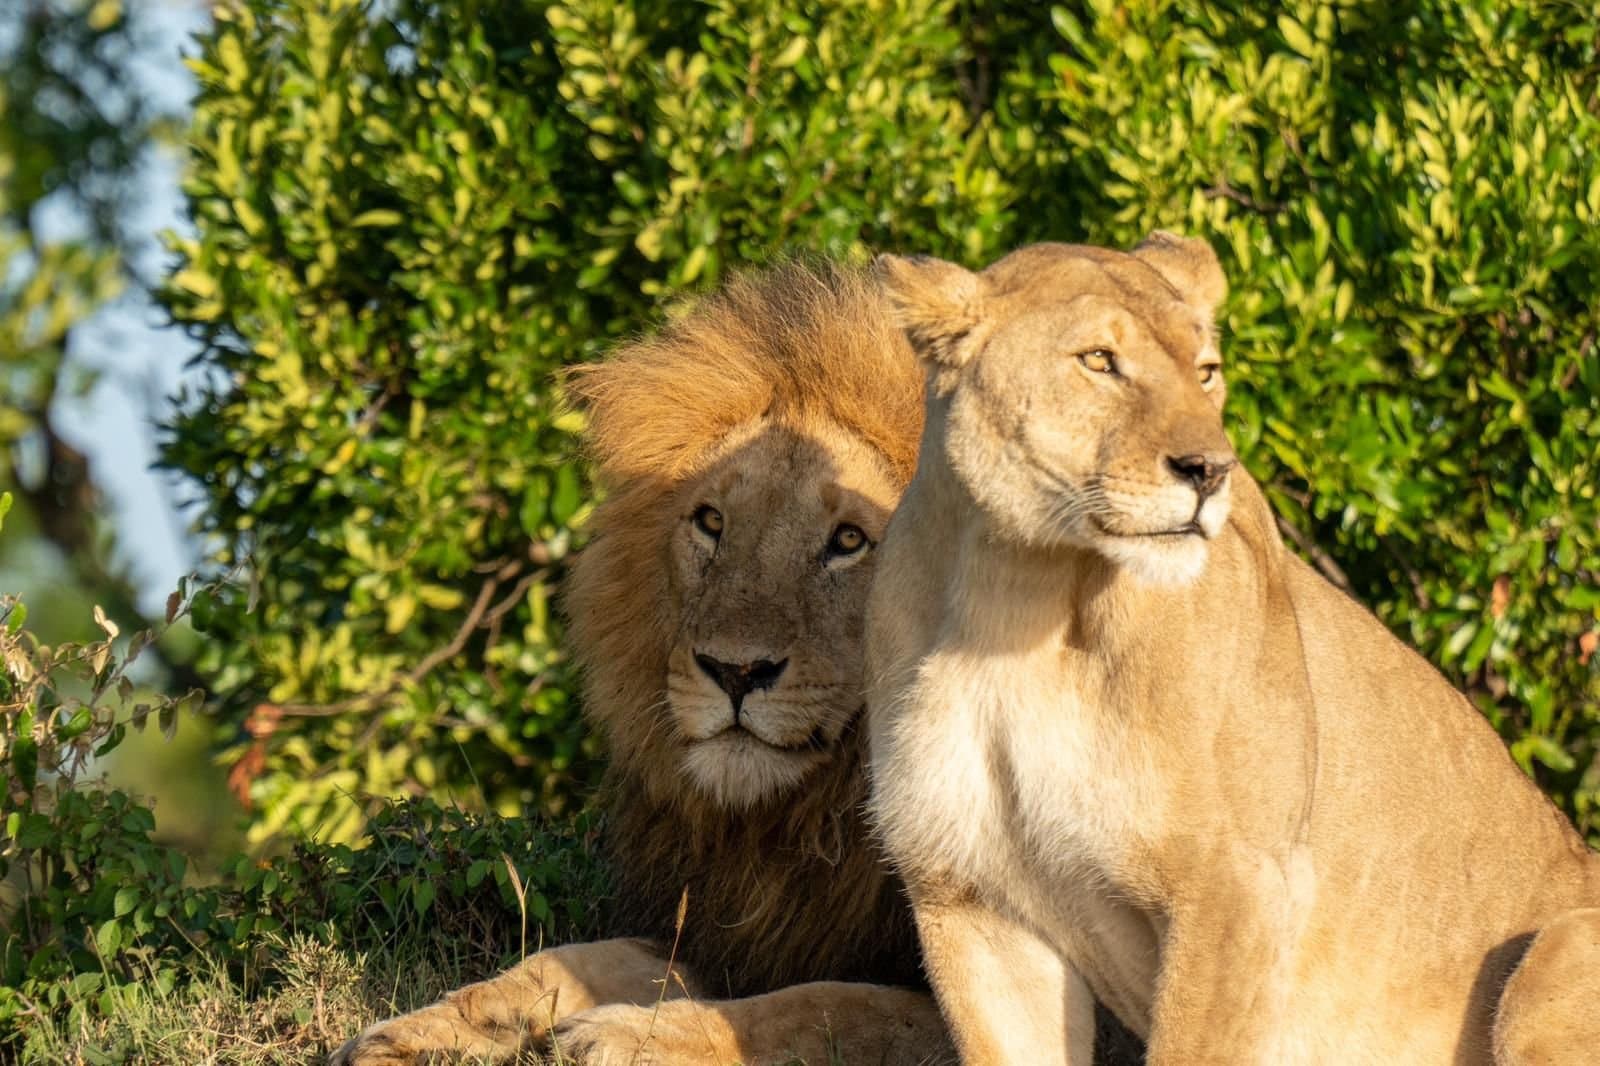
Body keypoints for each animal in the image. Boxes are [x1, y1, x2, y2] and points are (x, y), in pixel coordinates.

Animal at [330, 262, 1145, 1065]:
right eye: (711, 522)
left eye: (849, 540)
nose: (734, 673)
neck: (805, 822)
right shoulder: (729, 929)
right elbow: (563, 960)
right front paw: (418, 1031)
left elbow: (824, 1007)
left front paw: (627, 1035)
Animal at [864, 235, 1600, 1065]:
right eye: (1099, 361)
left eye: (1206, 370)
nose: (1211, 470)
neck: (1016, 597)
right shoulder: (969, 900)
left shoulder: (1238, 884)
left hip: (1557, 951)